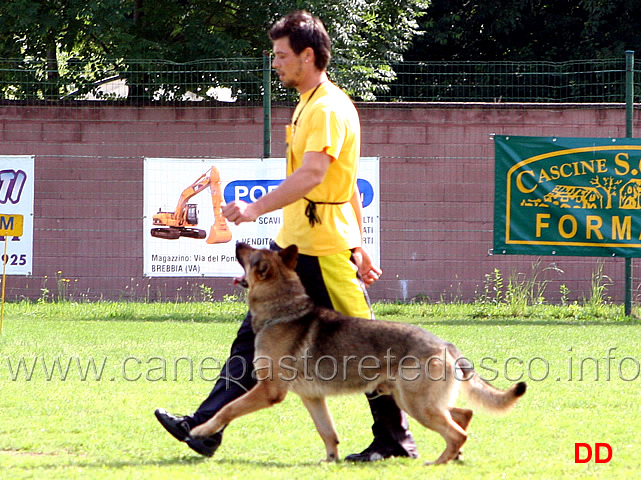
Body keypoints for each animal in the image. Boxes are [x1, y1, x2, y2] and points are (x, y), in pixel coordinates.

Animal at [189, 244, 524, 464]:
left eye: (250, 254)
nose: (237, 242)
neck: (282, 309)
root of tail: (445, 344)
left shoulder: (269, 391)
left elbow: (227, 408)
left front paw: (201, 430)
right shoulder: (313, 398)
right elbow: (327, 432)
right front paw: (330, 460)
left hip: (417, 404)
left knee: (457, 432)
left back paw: (438, 463)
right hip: (417, 400)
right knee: (463, 415)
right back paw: (453, 456)